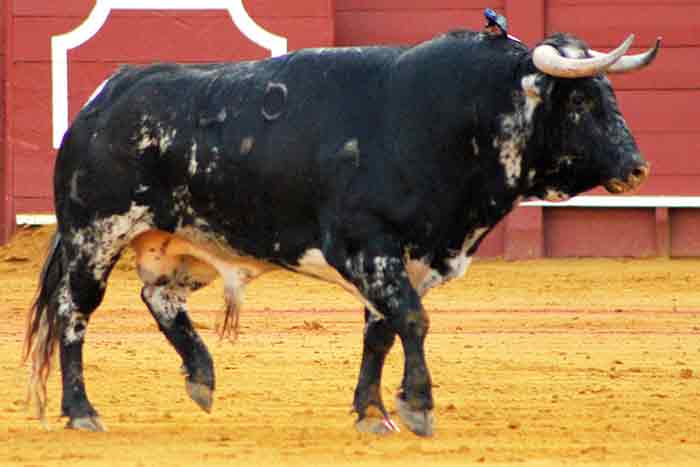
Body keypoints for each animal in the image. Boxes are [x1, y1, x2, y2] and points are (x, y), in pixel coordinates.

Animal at [23, 31, 656, 436]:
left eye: (611, 95)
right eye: (582, 99)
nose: (637, 167)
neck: (451, 119)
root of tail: (104, 97)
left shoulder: (406, 257)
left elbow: (382, 332)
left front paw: (372, 412)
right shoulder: (364, 245)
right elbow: (412, 321)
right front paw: (417, 407)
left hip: (182, 244)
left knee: (157, 298)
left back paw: (201, 377)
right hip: (95, 235)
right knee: (74, 312)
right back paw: (81, 410)